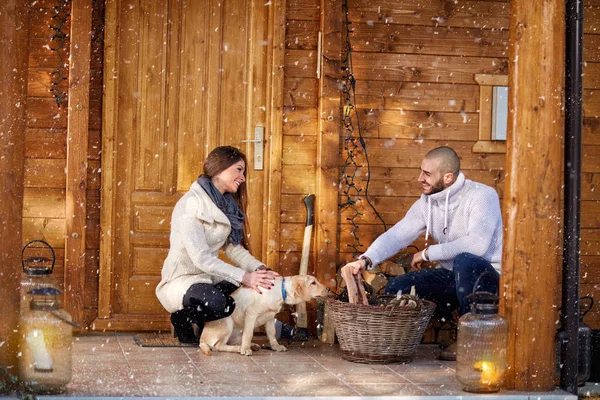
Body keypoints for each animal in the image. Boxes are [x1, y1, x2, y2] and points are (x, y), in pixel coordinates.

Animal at [199, 276, 328, 356]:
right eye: (313, 283)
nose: (328, 288)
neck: (281, 291)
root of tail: (201, 339)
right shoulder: (251, 313)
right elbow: (249, 333)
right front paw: (245, 349)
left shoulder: (270, 317)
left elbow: (272, 333)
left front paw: (276, 346)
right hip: (227, 321)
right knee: (218, 346)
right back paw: (240, 348)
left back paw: (251, 346)